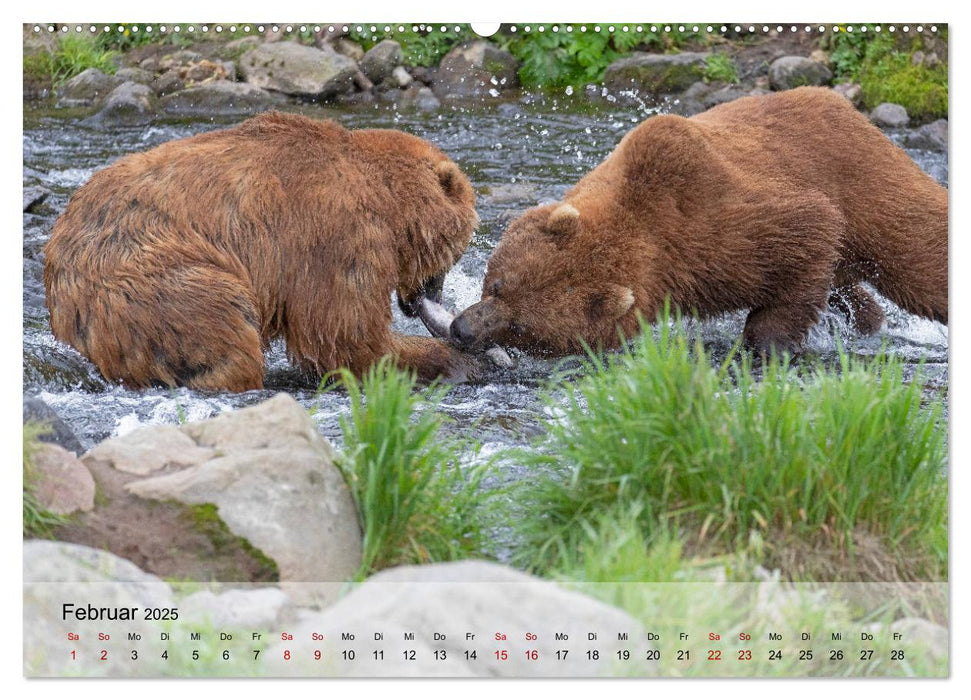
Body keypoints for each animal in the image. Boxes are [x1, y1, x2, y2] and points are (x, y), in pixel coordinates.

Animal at [44, 112, 482, 392]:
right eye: (457, 251)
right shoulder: (336, 234)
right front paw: (455, 361)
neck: (389, 202)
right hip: (156, 283)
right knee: (222, 329)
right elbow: (347, 337)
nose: (431, 296)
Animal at [454, 88, 948, 358]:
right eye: (497, 284)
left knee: (923, 261)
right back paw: (868, 319)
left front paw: (766, 343)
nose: (461, 330)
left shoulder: (730, 227)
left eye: (522, 325)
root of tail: (849, 109)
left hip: (870, 186)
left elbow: (809, 228)